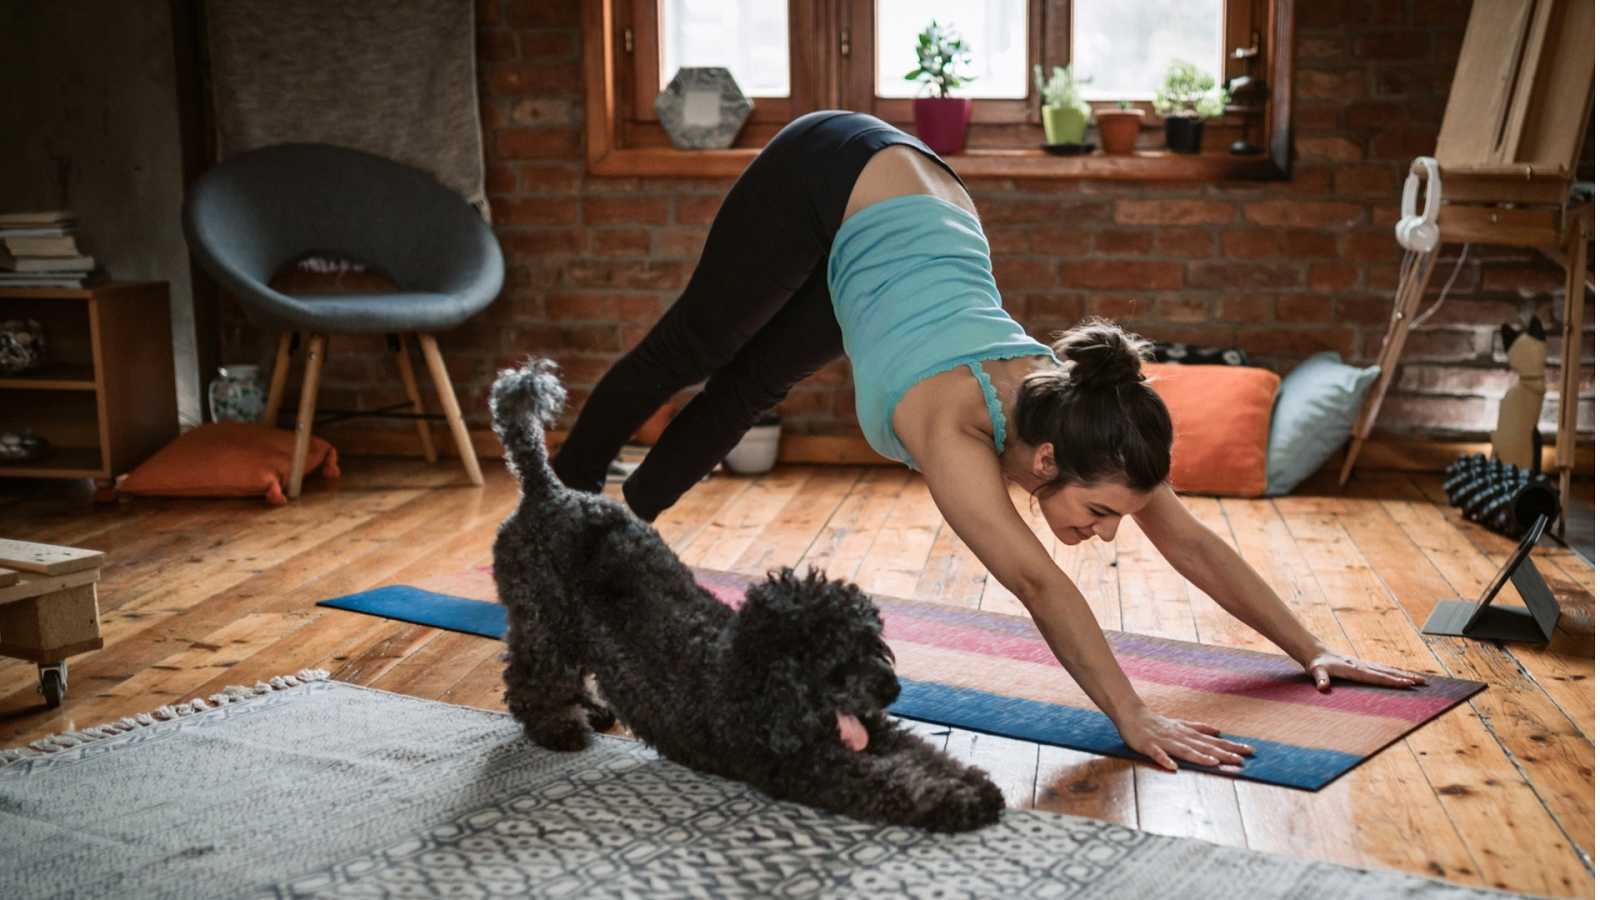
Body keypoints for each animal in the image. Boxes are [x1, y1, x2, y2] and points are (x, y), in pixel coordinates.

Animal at [492, 355, 1004, 826]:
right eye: (835, 657)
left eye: (873, 642)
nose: (892, 688)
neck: (752, 677)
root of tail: (547, 490)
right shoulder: (811, 767)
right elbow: (892, 782)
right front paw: (957, 801)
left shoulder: (874, 729)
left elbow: (922, 752)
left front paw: (971, 781)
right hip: (541, 619)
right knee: (529, 679)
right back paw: (559, 727)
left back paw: (592, 709)